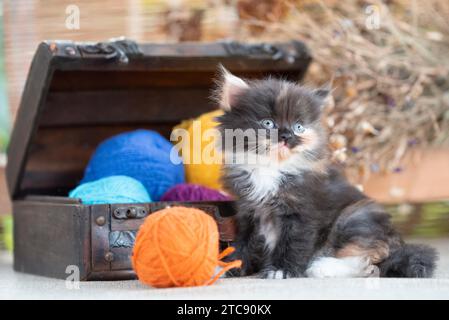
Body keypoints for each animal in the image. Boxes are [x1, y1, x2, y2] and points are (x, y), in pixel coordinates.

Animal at [215, 67, 436, 278]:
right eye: (268, 123)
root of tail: (397, 241)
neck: (272, 167)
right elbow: (244, 242)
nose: (287, 136)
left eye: (299, 127)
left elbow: (293, 243)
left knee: (369, 260)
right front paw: (230, 266)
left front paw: (281, 270)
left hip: (353, 217)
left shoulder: (302, 214)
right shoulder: (248, 212)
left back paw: (322, 267)